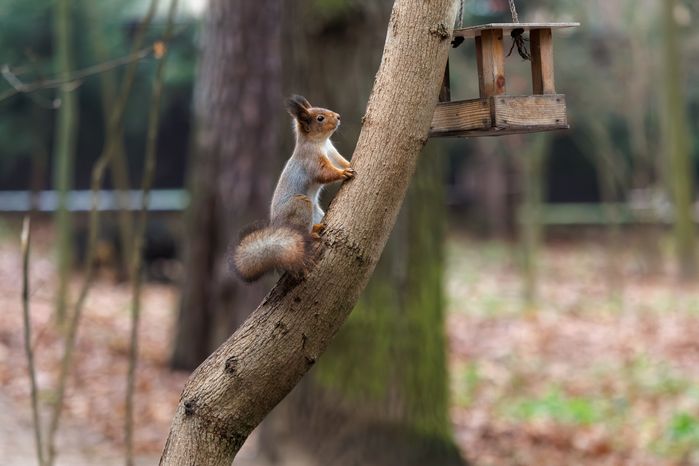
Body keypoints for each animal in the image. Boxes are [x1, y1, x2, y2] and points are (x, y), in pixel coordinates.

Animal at [231, 95, 355, 282]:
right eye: (320, 118)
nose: (338, 117)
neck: (320, 142)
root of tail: (280, 226)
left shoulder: (332, 152)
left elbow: (341, 161)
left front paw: (347, 166)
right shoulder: (312, 161)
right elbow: (325, 173)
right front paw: (343, 173)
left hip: (316, 212)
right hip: (300, 206)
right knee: (303, 233)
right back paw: (312, 232)